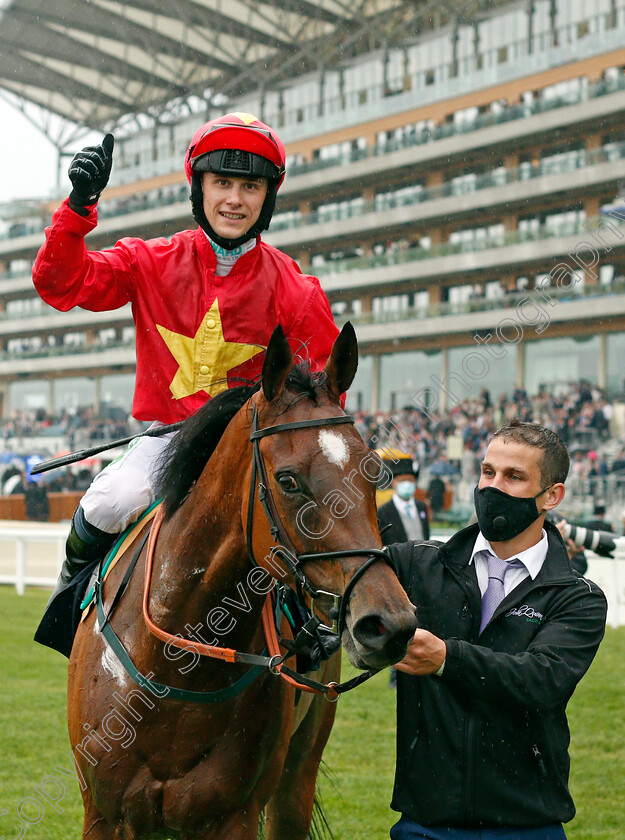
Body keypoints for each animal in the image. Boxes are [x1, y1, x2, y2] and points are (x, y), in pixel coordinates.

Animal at [68, 324, 416, 840]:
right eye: (288, 481)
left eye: (373, 475)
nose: (389, 624)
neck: (176, 666)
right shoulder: (104, 813)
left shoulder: (235, 815)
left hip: (298, 775)